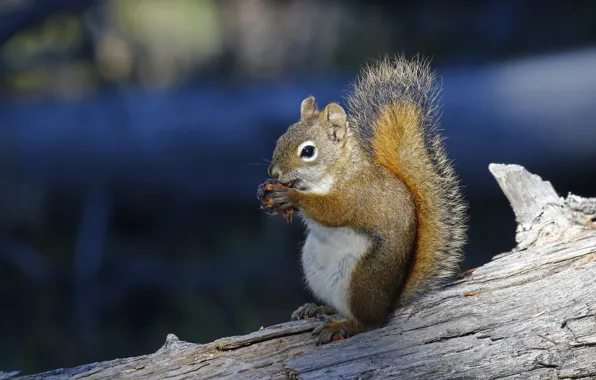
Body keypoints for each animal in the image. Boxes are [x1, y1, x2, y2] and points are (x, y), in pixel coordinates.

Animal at [256, 55, 466, 344]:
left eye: (308, 151)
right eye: (281, 137)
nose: (274, 173)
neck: (336, 170)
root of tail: (388, 302)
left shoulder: (356, 194)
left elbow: (333, 211)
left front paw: (291, 196)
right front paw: (264, 191)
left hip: (359, 280)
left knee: (369, 322)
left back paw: (341, 325)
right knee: (336, 305)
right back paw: (317, 308)